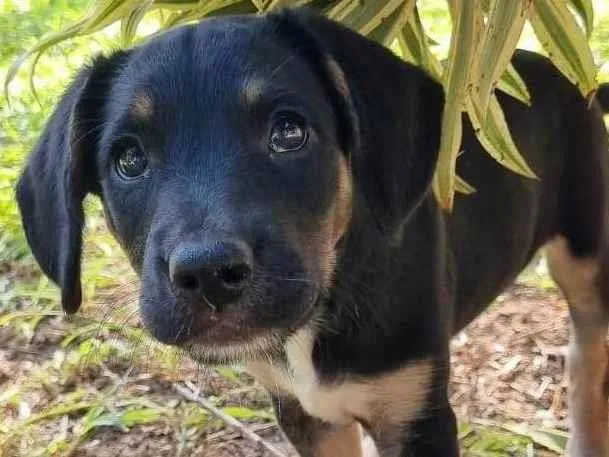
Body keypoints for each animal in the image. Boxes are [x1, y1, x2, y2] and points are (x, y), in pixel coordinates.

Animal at [15, 8, 609, 456]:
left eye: (289, 132)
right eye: (129, 159)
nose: (208, 274)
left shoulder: (417, 416)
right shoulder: (306, 415)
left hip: (585, 255)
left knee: (587, 356)